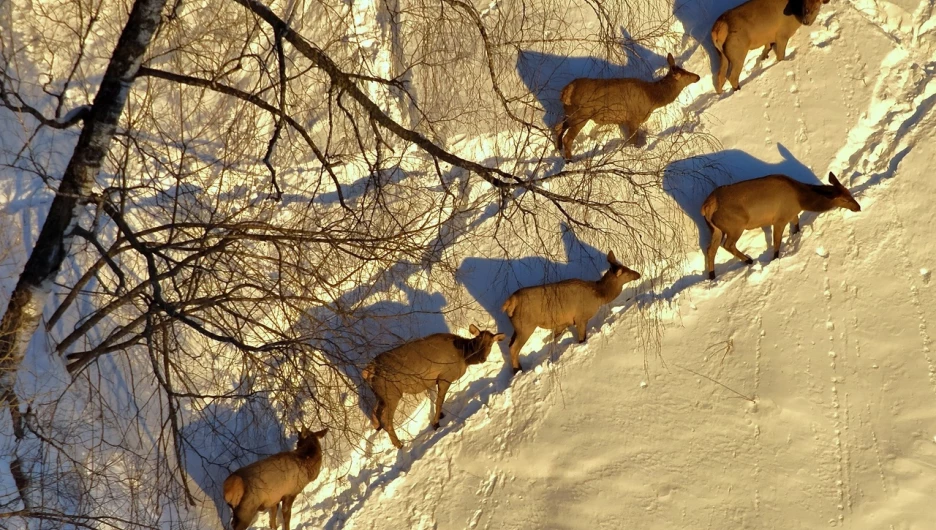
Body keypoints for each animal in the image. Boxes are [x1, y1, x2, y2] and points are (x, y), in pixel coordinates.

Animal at [362, 324, 504, 448]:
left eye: (490, 343)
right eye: (478, 340)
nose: (481, 358)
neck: (464, 357)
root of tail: (367, 370)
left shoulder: (433, 381)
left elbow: (435, 398)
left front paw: (440, 416)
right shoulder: (445, 376)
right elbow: (439, 402)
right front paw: (436, 423)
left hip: (381, 394)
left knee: (374, 412)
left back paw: (378, 430)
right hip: (391, 393)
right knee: (386, 420)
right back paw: (399, 444)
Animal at [504, 251, 644, 372]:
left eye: (626, 267)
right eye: (626, 273)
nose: (638, 274)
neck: (599, 296)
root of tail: (510, 302)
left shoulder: (563, 322)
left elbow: (555, 339)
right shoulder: (580, 317)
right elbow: (582, 338)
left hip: (517, 326)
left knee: (510, 345)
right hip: (526, 325)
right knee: (514, 348)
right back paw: (518, 370)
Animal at [552, 53, 700, 161]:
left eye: (685, 69)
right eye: (684, 75)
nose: (697, 76)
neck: (652, 98)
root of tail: (565, 92)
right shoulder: (633, 118)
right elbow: (634, 141)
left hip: (570, 113)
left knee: (558, 127)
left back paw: (560, 152)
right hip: (581, 115)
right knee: (567, 138)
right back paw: (570, 160)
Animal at [704, 173, 864, 280]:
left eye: (849, 192)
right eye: (844, 199)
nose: (858, 207)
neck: (800, 200)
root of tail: (706, 207)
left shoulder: (791, 213)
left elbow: (796, 222)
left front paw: (796, 234)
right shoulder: (779, 219)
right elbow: (777, 243)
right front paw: (775, 259)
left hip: (716, 229)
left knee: (710, 249)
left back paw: (712, 276)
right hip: (735, 225)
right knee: (727, 245)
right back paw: (749, 260)